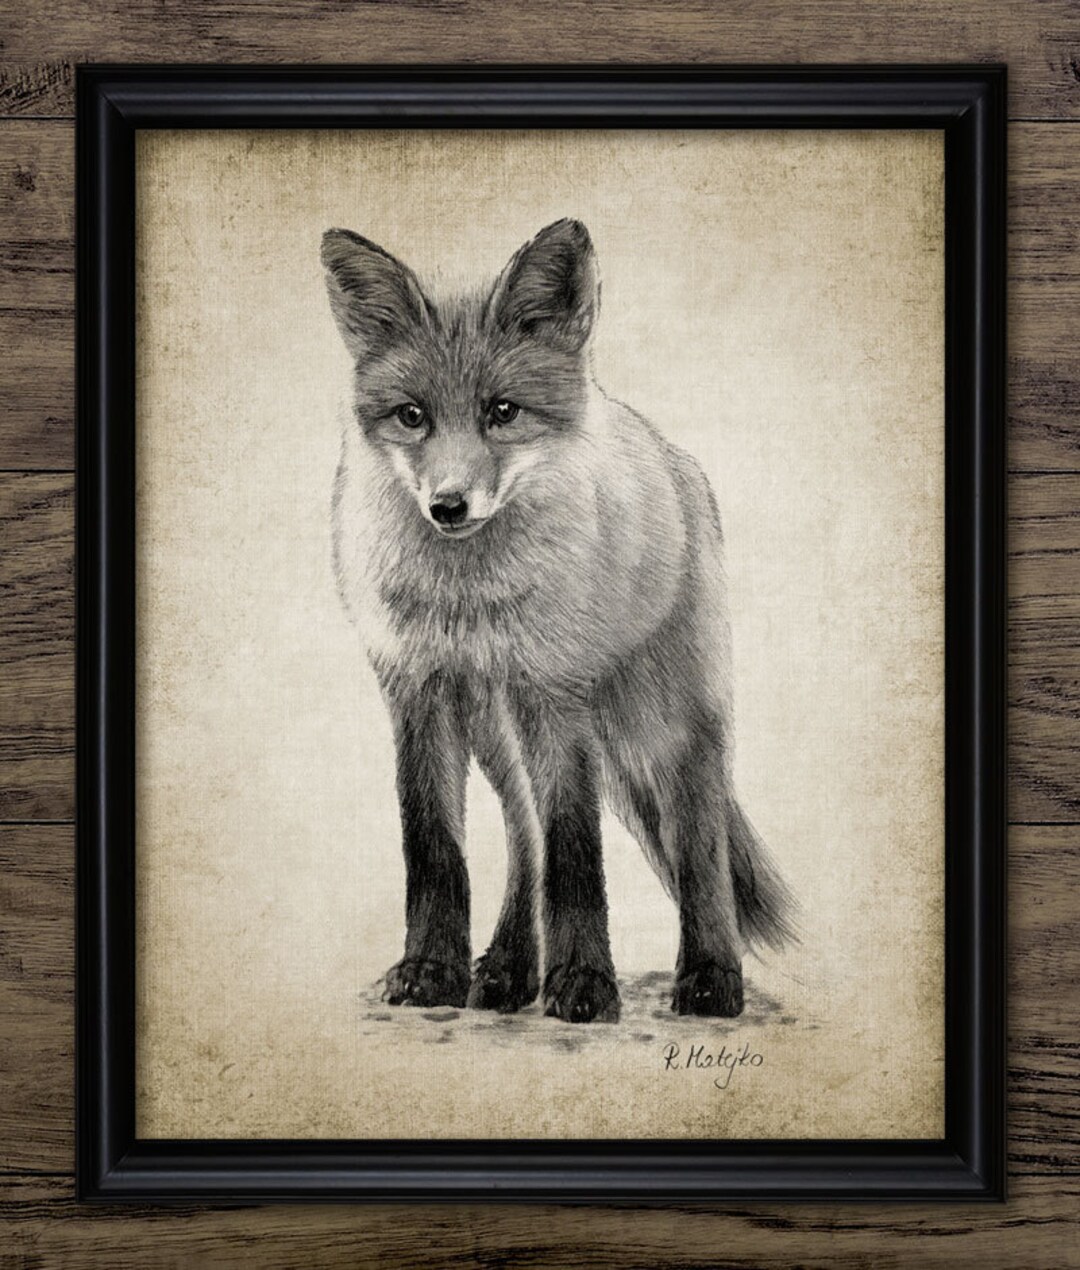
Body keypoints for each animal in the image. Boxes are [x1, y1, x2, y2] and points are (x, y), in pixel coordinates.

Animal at [321, 217, 796, 1023]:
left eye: (503, 412)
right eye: (412, 416)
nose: (448, 506)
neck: (470, 598)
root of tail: (669, 454)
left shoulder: (556, 690)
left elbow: (577, 849)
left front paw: (584, 984)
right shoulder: (417, 690)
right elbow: (437, 848)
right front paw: (429, 970)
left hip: (668, 720)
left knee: (696, 838)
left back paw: (709, 976)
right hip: (495, 728)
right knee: (522, 834)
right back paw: (509, 970)